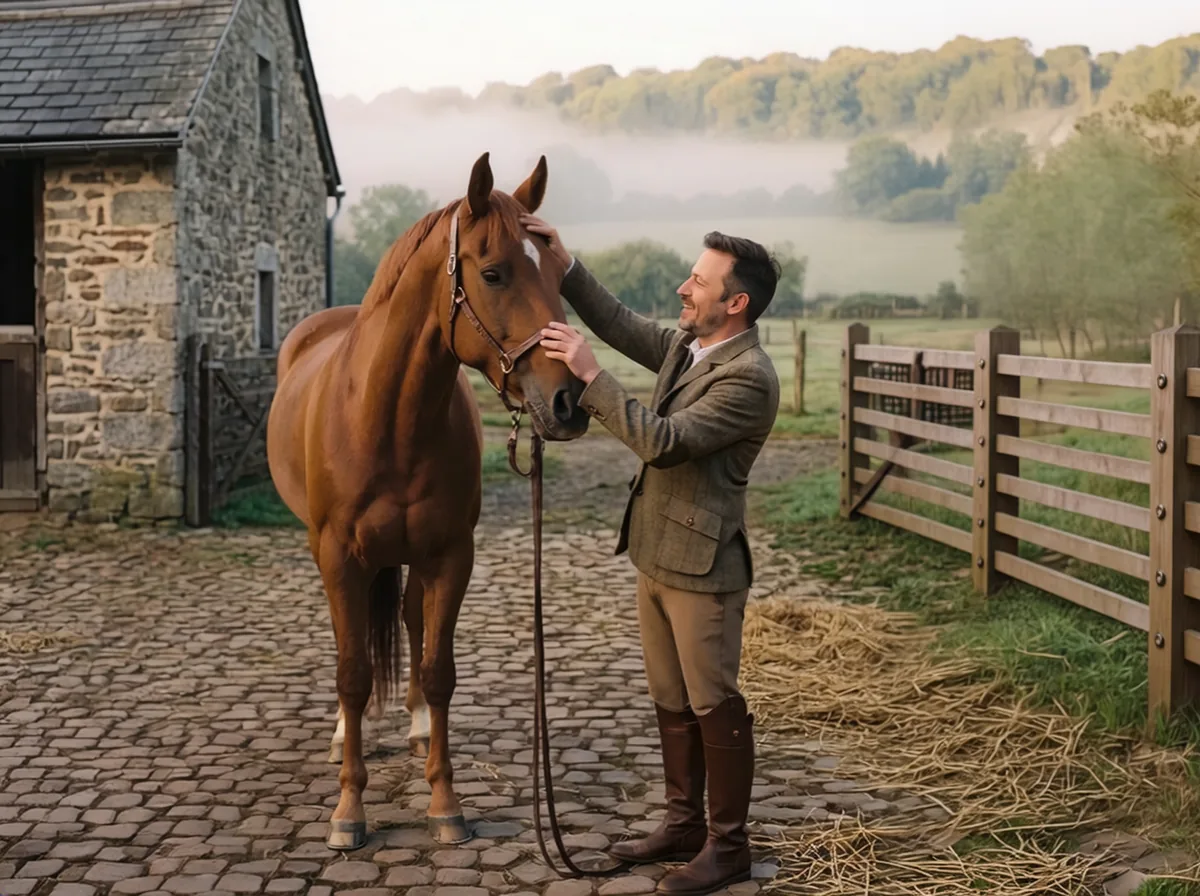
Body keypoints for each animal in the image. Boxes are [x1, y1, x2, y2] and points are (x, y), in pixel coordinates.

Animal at [265, 152, 590, 851]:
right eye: (493, 273)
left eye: (559, 273)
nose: (569, 403)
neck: (387, 418)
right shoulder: (340, 559)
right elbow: (353, 671)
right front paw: (348, 810)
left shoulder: (450, 555)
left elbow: (440, 668)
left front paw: (444, 801)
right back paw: (346, 734)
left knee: (413, 621)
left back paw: (414, 728)